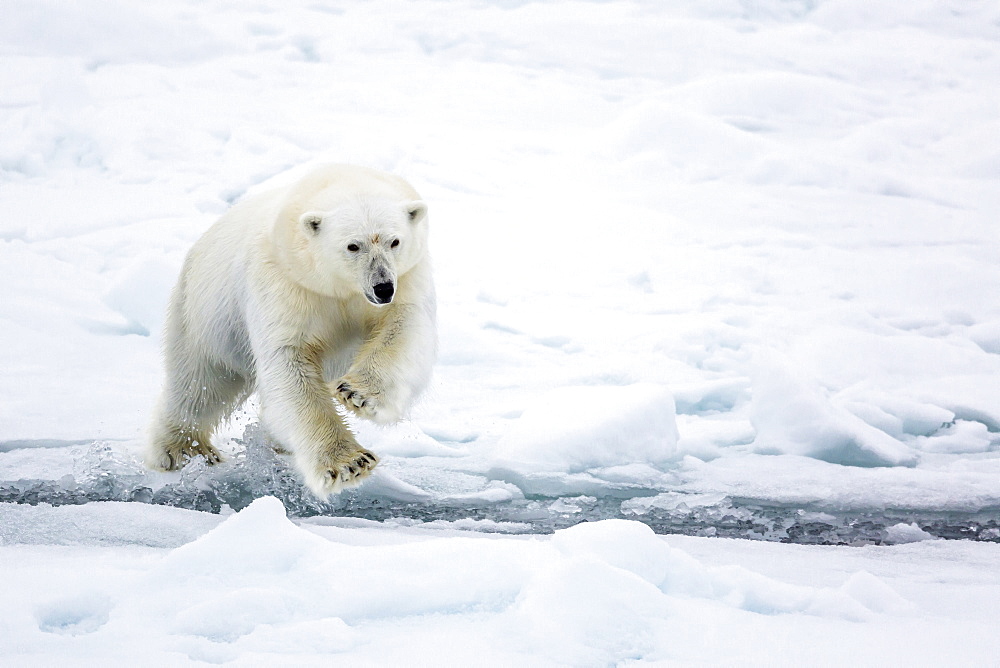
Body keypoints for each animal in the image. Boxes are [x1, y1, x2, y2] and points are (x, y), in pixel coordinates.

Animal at [146, 163, 436, 496]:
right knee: (201, 381)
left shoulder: (408, 276)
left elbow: (404, 328)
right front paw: (348, 464)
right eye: (353, 245)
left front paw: (357, 394)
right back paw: (183, 450)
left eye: (394, 241)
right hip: (203, 313)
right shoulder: (285, 281)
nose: (382, 287)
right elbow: (289, 360)